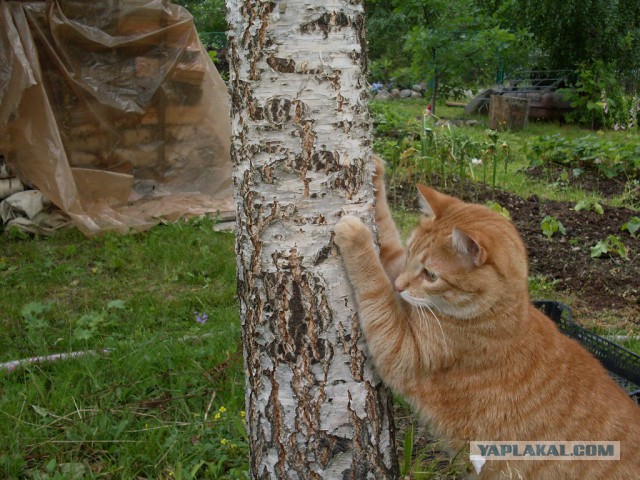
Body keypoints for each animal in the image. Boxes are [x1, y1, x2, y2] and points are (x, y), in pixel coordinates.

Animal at [336, 156, 640, 478]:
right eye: (410, 255)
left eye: (431, 275)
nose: (400, 286)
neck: (503, 314)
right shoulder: (398, 277)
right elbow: (386, 237)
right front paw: (377, 172)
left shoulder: (402, 348)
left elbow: (375, 285)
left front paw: (354, 236)